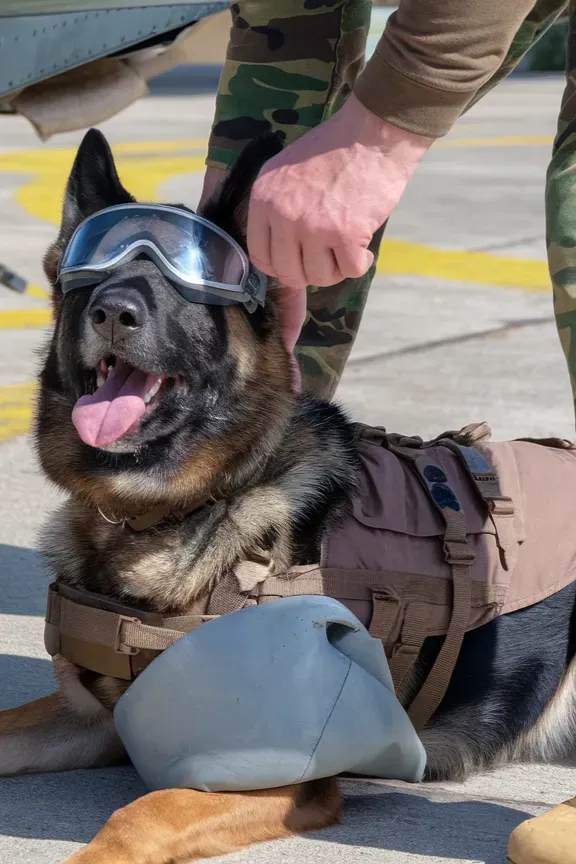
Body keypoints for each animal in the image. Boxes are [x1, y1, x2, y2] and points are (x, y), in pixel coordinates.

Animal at [1, 130, 576, 864]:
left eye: (189, 286)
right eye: (93, 274)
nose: (113, 311)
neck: (173, 513)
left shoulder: (276, 772)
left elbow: (141, 815)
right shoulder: (98, 718)